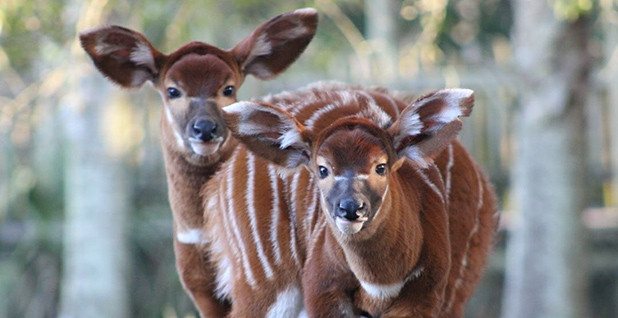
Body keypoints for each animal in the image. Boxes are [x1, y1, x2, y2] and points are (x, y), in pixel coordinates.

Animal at [212, 83, 496, 316]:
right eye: (322, 169)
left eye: (381, 166)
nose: (351, 208)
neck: (381, 284)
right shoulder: (322, 290)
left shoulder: (425, 296)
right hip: (264, 283)